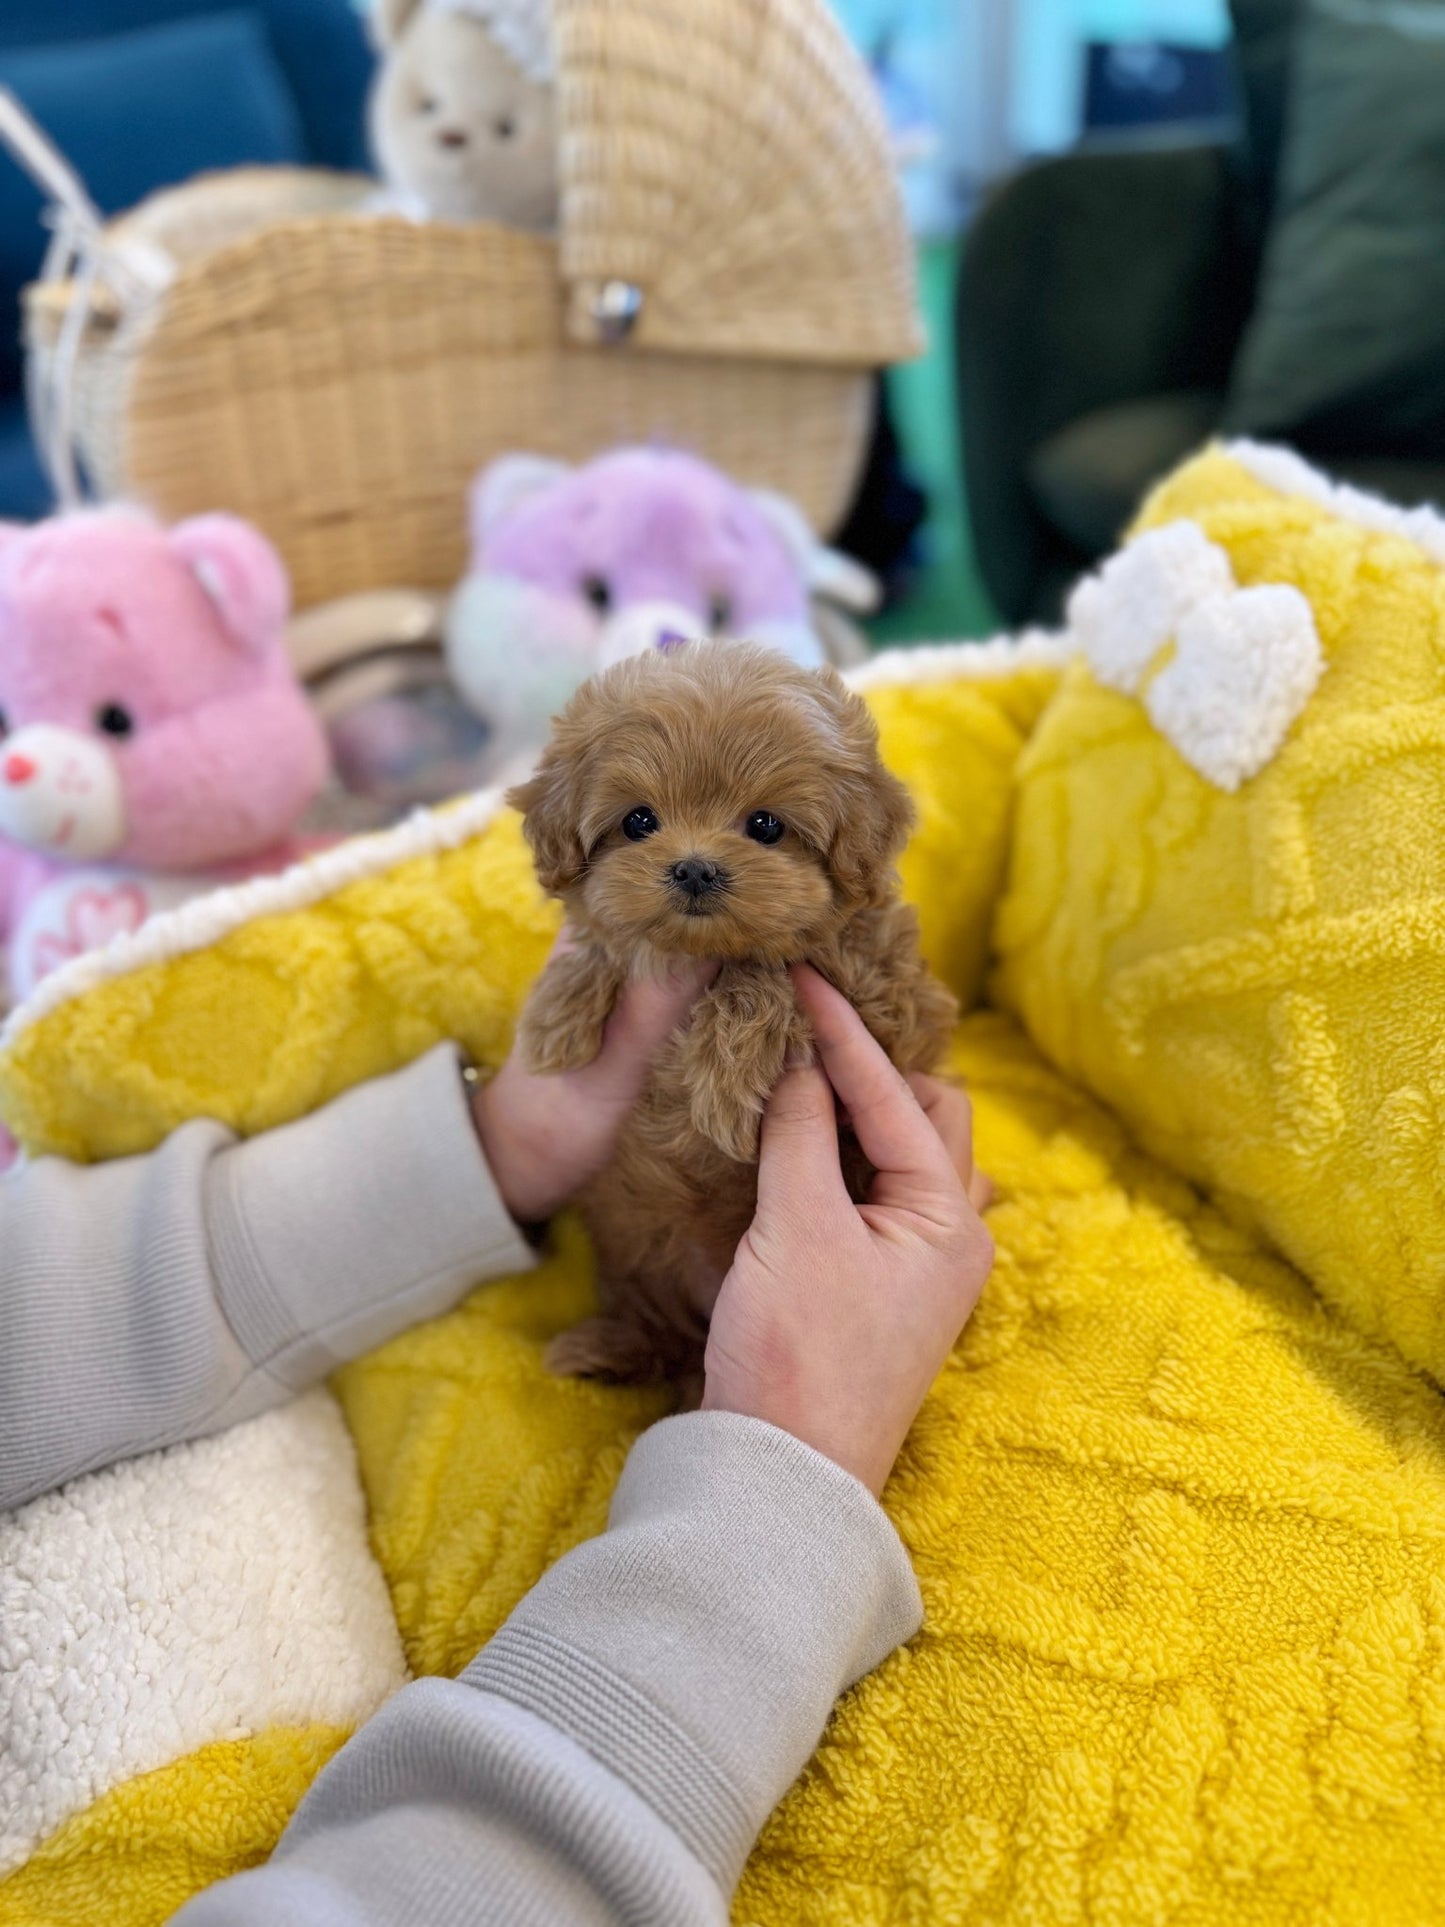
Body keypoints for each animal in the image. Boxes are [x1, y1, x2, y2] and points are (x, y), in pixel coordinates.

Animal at [508, 647, 963, 1387]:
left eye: (765, 826)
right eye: (638, 821)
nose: (694, 869)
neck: (704, 954)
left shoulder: (891, 1009)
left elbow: (767, 972)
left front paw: (722, 1072)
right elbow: (606, 940)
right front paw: (556, 1014)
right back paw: (601, 1349)